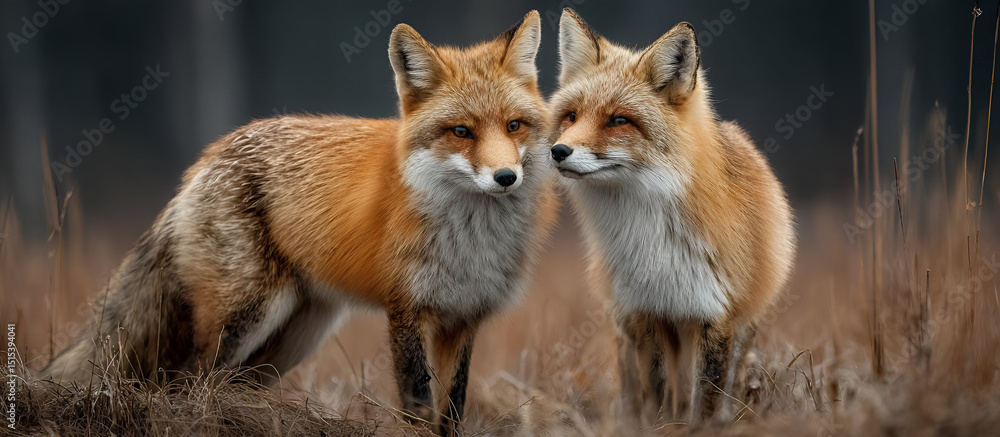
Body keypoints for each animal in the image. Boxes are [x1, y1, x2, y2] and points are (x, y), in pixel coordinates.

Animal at [42, 11, 557, 434]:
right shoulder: (405, 312)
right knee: (191, 382)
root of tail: (207, 157)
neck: (471, 239)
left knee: (224, 383)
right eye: (461, 132)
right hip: (246, 316)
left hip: (294, 336)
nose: (506, 177)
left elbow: (450, 412)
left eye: (513, 125)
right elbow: (417, 406)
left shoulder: (463, 319)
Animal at [549, 9, 795, 426]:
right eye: (571, 116)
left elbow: (705, 401)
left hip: (742, 328)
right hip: (627, 327)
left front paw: (700, 429)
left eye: (618, 121)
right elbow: (658, 395)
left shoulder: (715, 314)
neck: (655, 237)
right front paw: (661, 428)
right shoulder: (647, 314)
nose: (558, 151)